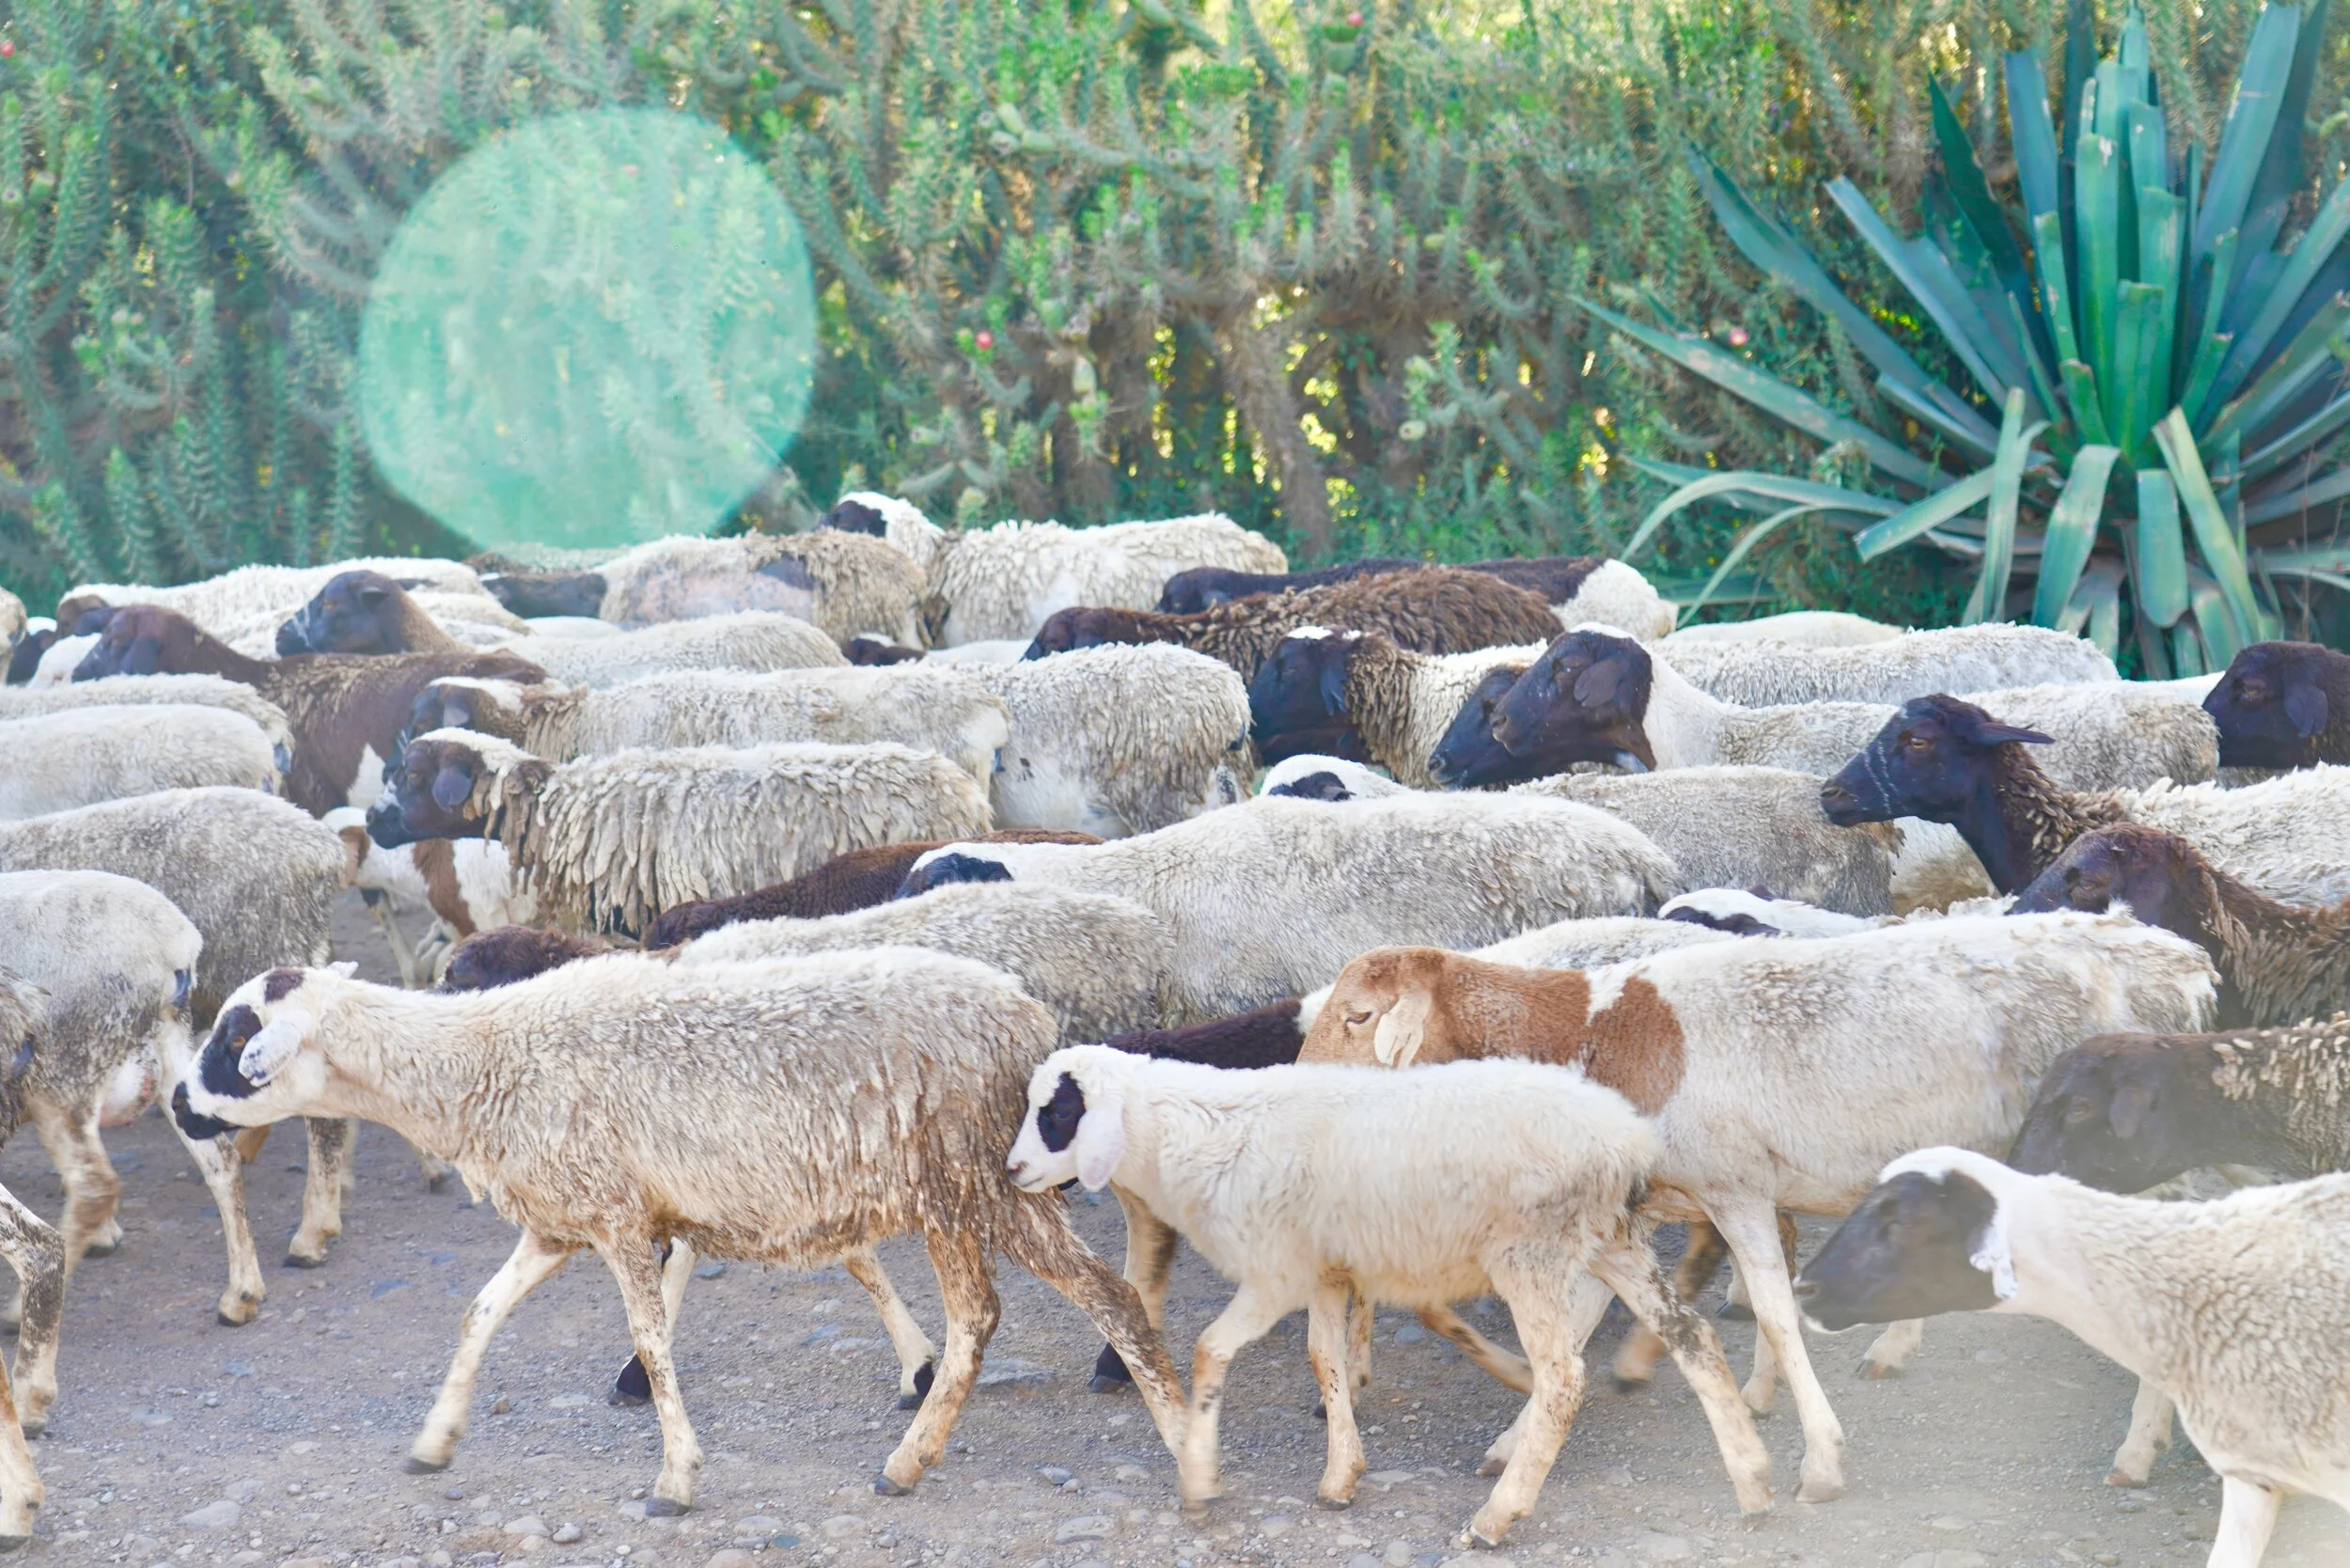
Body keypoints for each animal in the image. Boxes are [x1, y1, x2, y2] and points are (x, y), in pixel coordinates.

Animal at [167, 949, 1191, 1506]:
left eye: (234, 1037)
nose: (176, 1104)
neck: (476, 1062)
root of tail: (1030, 1019)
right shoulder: (559, 1218)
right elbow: (480, 1313)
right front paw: (435, 1438)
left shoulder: (619, 1215)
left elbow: (652, 1340)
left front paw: (676, 1478)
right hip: (977, 1186)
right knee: (1037, 1307)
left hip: (970, 1178)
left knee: (1038, 1305)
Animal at [1004, 1047, 1772, 1538]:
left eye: (1058, 1111)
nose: (1010, 1171)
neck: (1193, 1134)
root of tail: (1629, 1138)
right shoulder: (1324, 1269)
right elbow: (1324, 1358)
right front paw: (1341, 1476)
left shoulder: (1277, 1272)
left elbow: (1208, 1350)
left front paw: (1199, 1479)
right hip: (1613, 1239)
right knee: (1694, 1339)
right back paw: (1753, 1481)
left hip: (1530, 1253)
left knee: (1563, 1378)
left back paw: (1498, 1515)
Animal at [1297, 912, 2218, 1502]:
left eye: (1360, 1016)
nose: (1296, 1093)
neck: (1595, 1037)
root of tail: (2177, 959)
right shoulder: (1629, 1208)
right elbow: (1586, 1320)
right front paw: (1512, 1442)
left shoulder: (1734, 1188)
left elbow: (1775, 1311)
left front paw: (1821, 1462)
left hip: (2133, 1167)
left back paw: (2138, 1447)